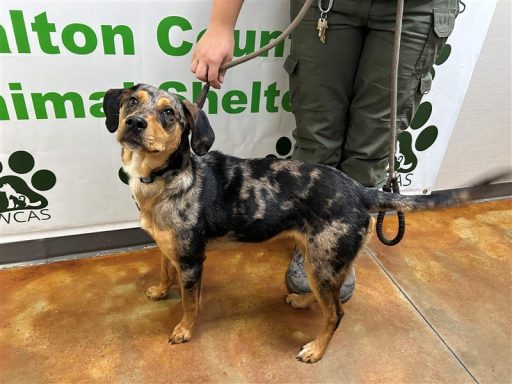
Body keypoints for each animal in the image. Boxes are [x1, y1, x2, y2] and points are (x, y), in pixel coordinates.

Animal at [102, 83, 502, 364]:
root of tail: (361, 191)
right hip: (321, 260)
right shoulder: (169, 248)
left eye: (169, 113)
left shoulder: (191, 259)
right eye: (132, 101)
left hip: (324, 260)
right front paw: (159, 291)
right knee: (328, 301)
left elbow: (189, 302)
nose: (134, 123)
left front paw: (184, 330)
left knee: (337, 313)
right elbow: (164, 271)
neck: (166, 177)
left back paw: (316, 350)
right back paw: (303, 301)